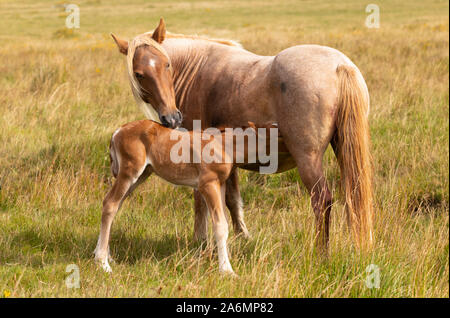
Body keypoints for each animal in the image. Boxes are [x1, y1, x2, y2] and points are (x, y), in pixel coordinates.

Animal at [110, 18, 374, 252]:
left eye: (166, 64)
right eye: (139, 73)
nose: (172, 118)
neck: (195, 71)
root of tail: (340, 66)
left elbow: (201, 200)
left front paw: (200, 240)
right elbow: (232, 200)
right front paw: (242, 236)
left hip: (308, 159)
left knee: (322, 200)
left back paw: (321, 253)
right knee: (353, 199)